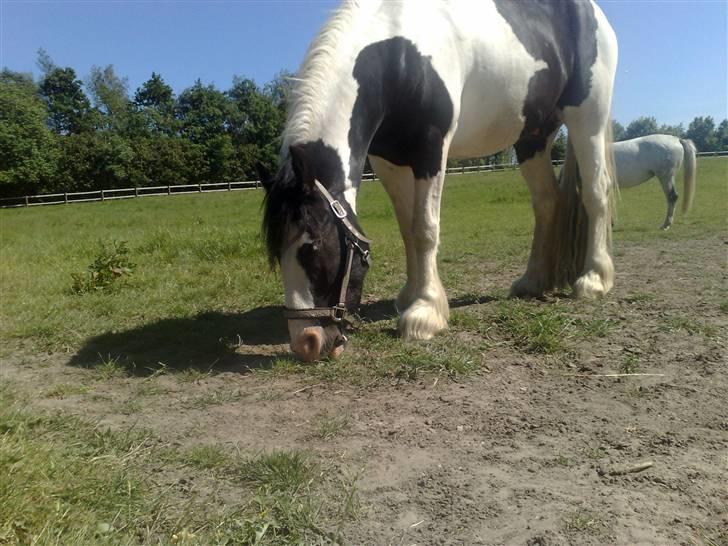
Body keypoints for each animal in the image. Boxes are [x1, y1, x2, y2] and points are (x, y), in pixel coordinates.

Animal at [258, 1, 616, 362]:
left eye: (314, 245)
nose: (307, 343)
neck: (399, 53)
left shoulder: (431, 149)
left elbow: (425, 229)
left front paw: (424, 313)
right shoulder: (388, 161)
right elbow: (407, 231)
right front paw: (410, 295)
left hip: (588, 118)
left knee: (596, 194)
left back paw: (594, 279)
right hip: (532, 138)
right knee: (546, 202)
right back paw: (533, 281)